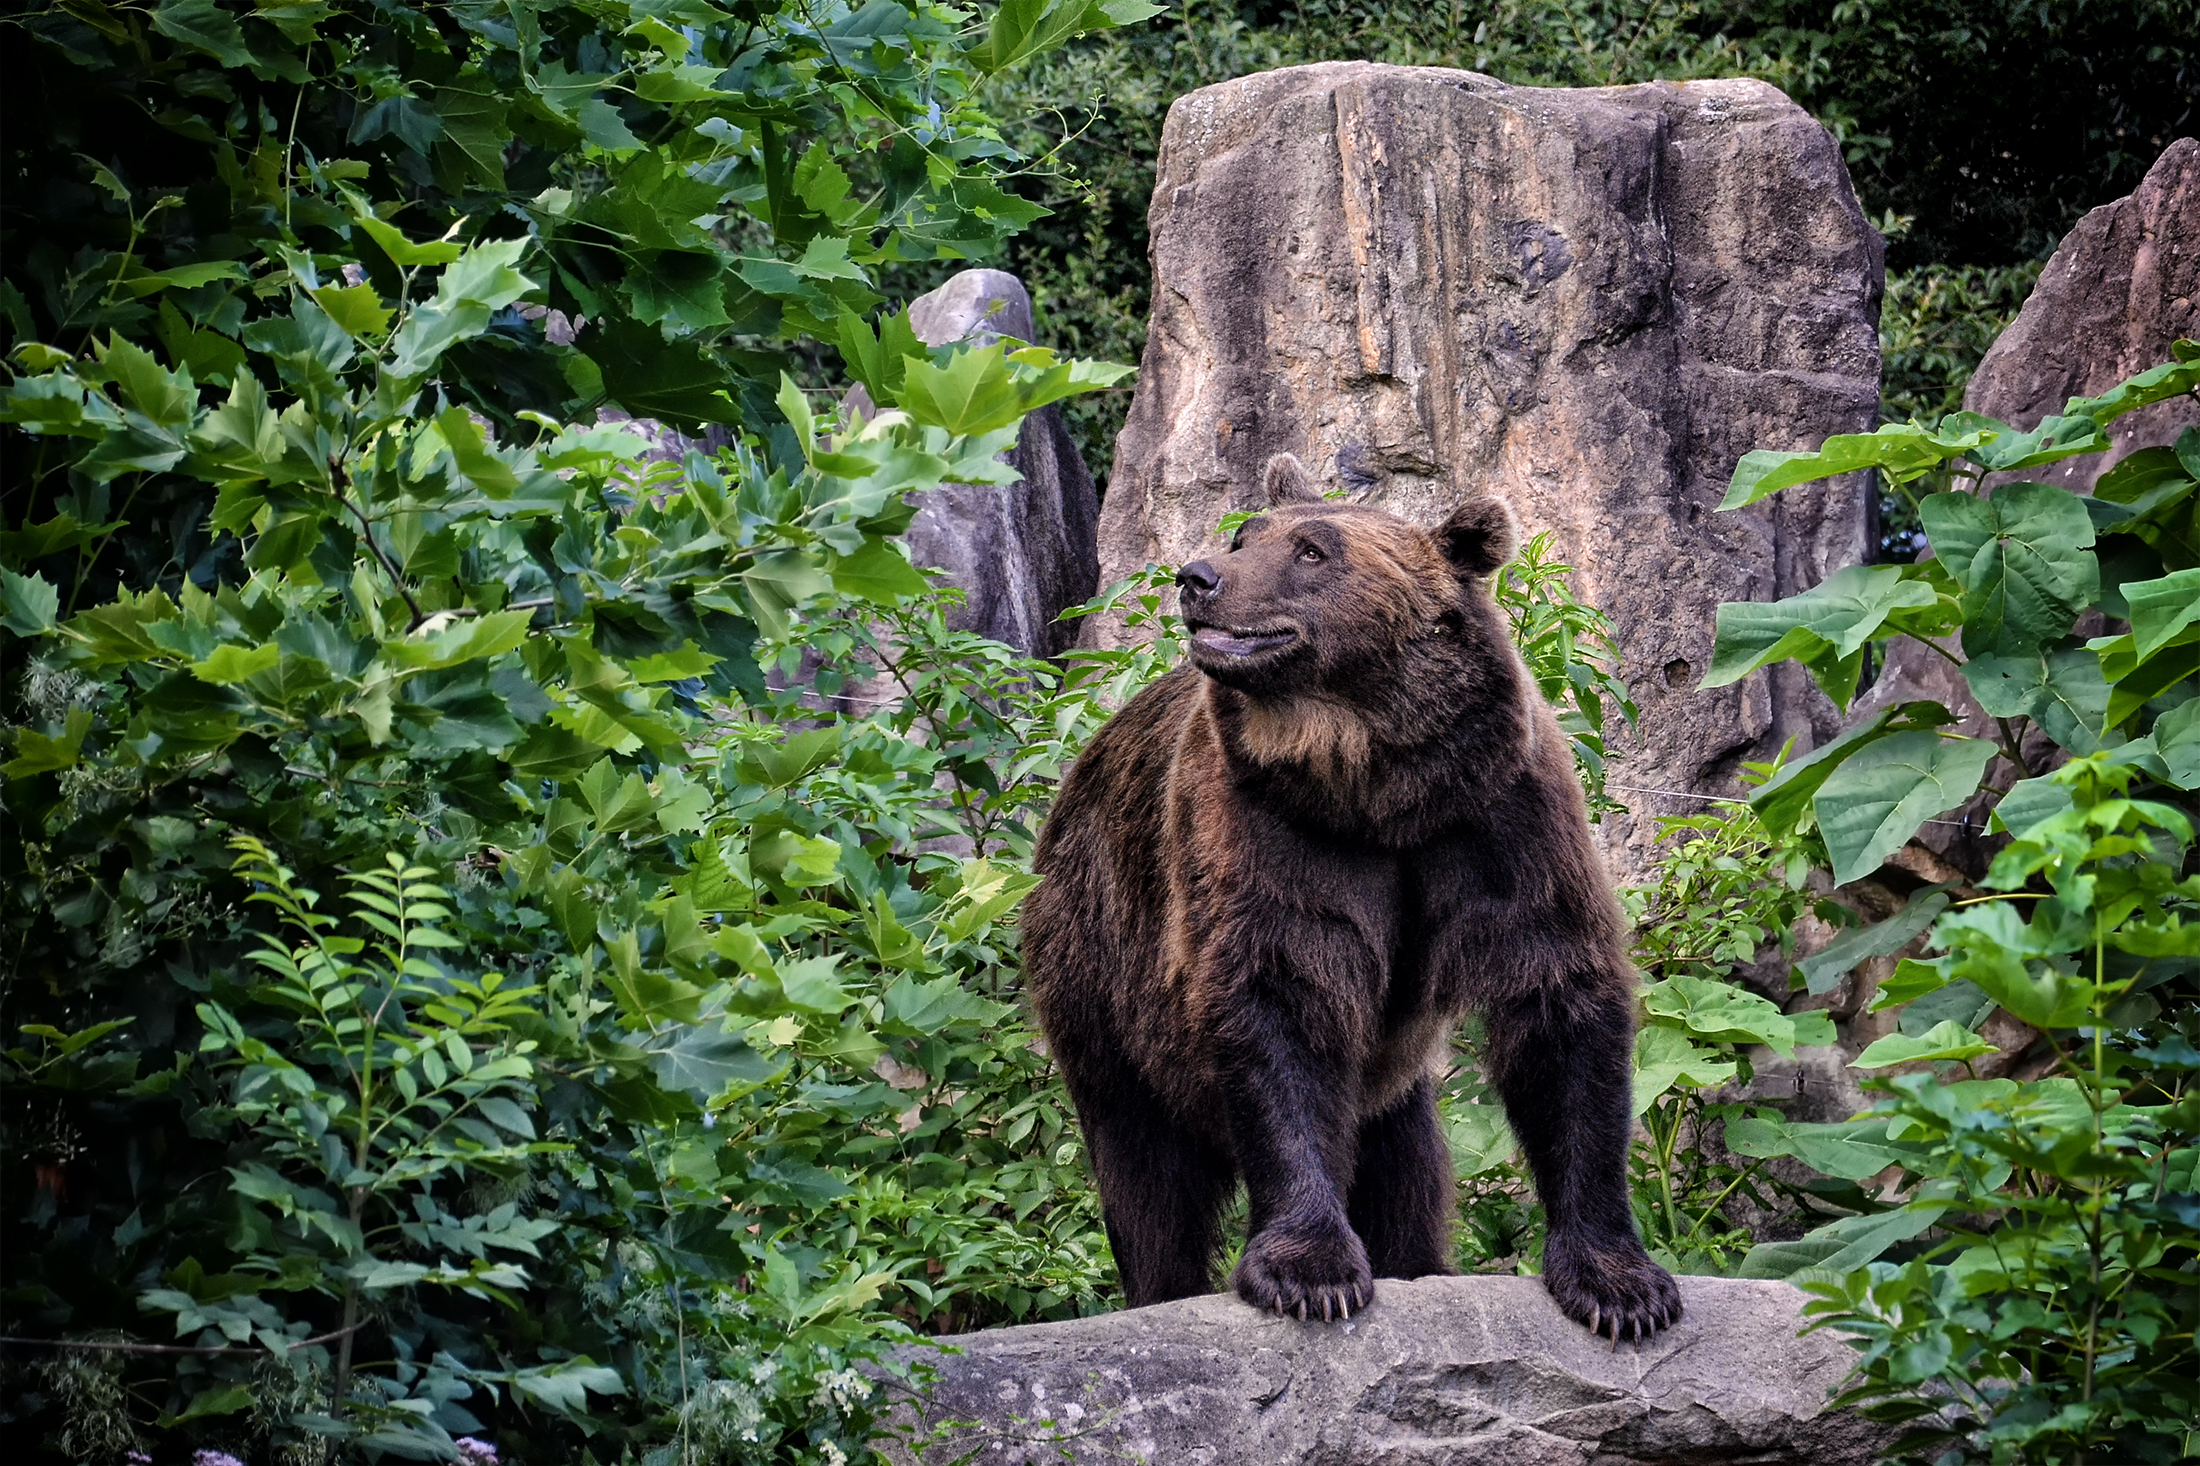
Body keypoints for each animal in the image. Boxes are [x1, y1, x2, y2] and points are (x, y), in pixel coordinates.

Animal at [1023, 452, 1680, 1342]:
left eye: (1313, 551)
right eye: (1247, 536)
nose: (1198, 576)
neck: (1379, 782)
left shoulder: (1499, 813)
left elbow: (1557, 995)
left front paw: (1620, 1287)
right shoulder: (1265, 826)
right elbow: (1282, 1004)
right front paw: (1311, 1272)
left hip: (1389, 1080)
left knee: (1407, 1163)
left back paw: (1417, 1261)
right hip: (1100, 966)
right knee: (1145, 1171)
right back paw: (1164, 1287)